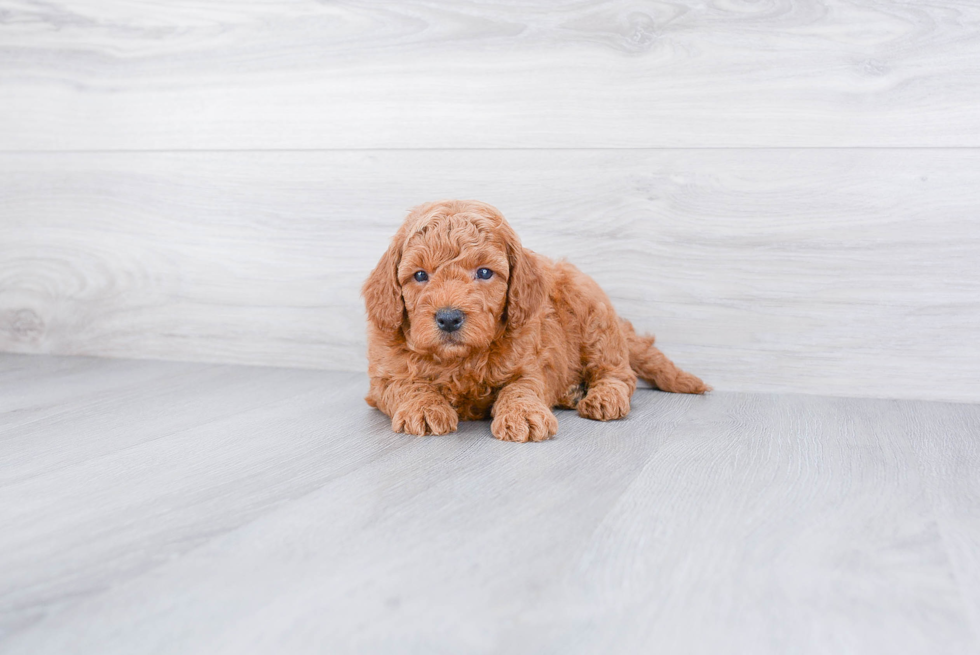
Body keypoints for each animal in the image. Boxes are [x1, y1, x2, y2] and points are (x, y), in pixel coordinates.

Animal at [364, 200, 708, 444]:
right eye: (420, 275)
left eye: (484, 272)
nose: (449, 318)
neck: (460, 360)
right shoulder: (384, 376)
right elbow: (408, 385)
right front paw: (425, 408)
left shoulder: (530, 364)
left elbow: (521, 389)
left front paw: (524, 415)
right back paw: (572, 393)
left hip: (595, 320)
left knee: (619, 373)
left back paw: (602, 397)